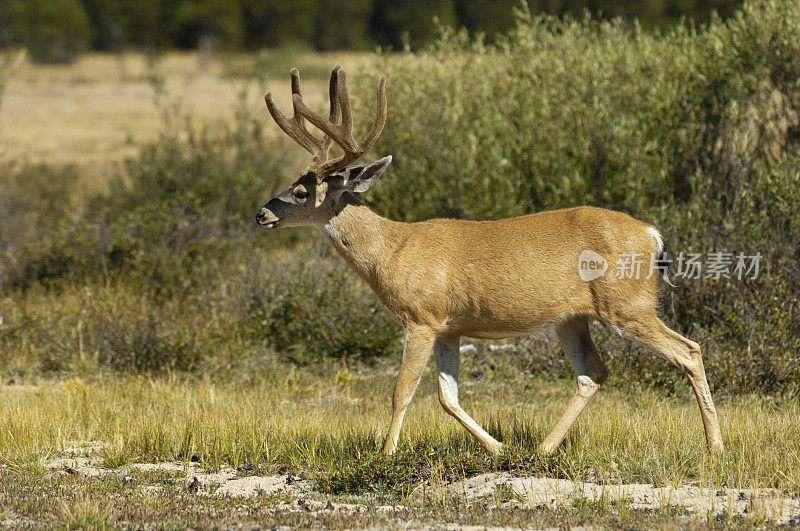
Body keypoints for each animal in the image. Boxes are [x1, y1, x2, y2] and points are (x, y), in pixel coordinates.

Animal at [256, 66, 724, 458]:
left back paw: (714, 447)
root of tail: (652, 233)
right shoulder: (449, 327)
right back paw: (542, 448)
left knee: (689, 350)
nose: (261, 214)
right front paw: (497, 447)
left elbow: (401, 390)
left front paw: (384, 456)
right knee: (593, 371)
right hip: (571, 317)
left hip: (627, 303)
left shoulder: (421, 316)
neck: (393, 250)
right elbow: (447, 397)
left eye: (302, 191)